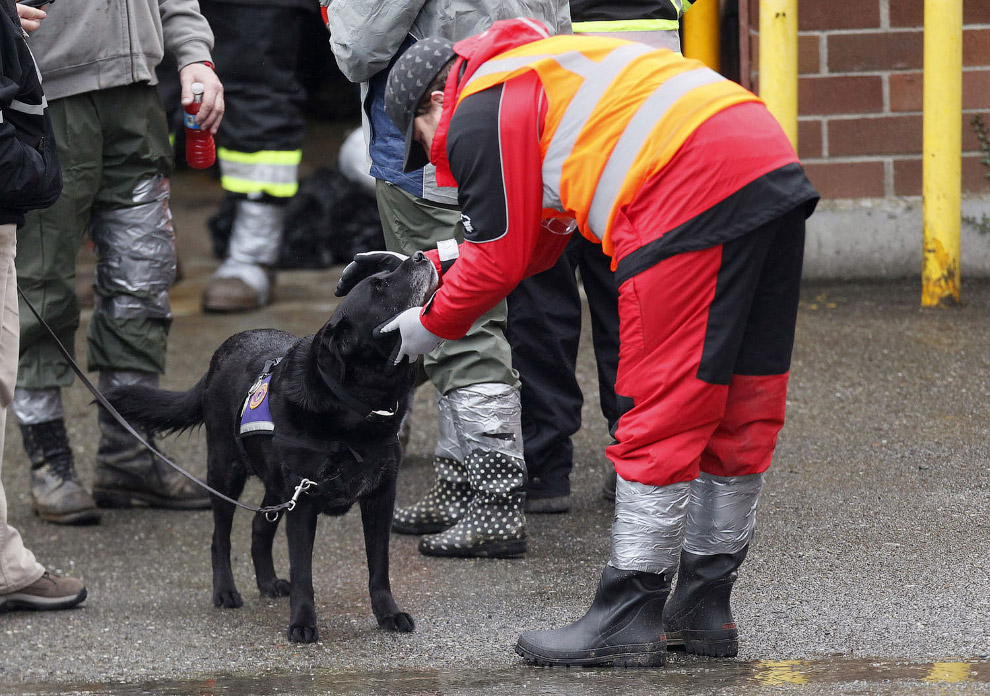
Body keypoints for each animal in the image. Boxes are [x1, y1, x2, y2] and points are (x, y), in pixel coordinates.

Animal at [103, 253, 438, 644]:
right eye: (379, 286)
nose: (420, 255)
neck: (357, 409)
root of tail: (220, 353)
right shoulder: (303, 504)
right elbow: (303, 573)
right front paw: (303, 623)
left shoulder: (379, 497)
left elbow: (379, 567)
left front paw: (388, 614)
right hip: (225, 472)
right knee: (220, 537)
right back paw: (225, 591)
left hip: (277, 485)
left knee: (258, 527)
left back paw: (267, 582)